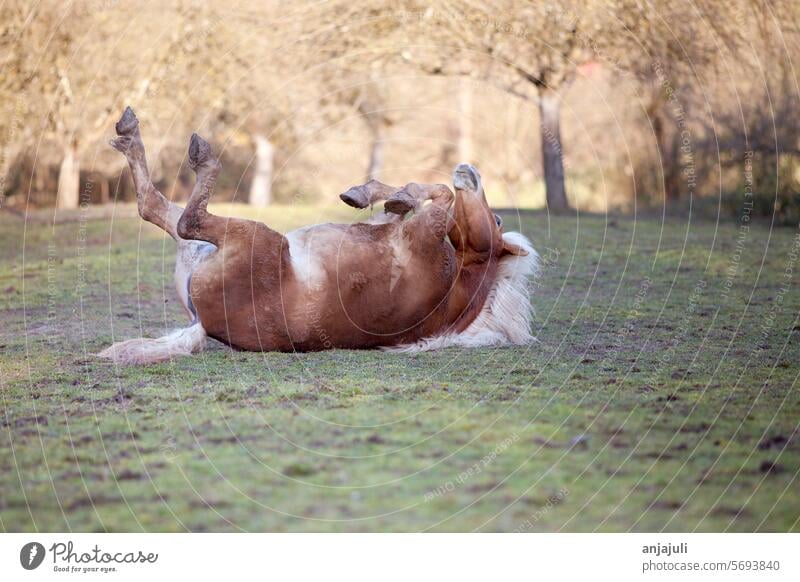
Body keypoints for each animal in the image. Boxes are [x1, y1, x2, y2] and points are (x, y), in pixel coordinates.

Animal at [98, 108, 536, 364]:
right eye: (498, 221)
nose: (470, 170)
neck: (454, 281)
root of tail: (204, 324)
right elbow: (408, 197)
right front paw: (369, 193)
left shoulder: (425, 230)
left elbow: (440, 193)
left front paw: (397, 194)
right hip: (201, 248)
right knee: (157, 208)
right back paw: (130, 134)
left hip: (252, 237)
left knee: (180, 217)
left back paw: (194, 154)